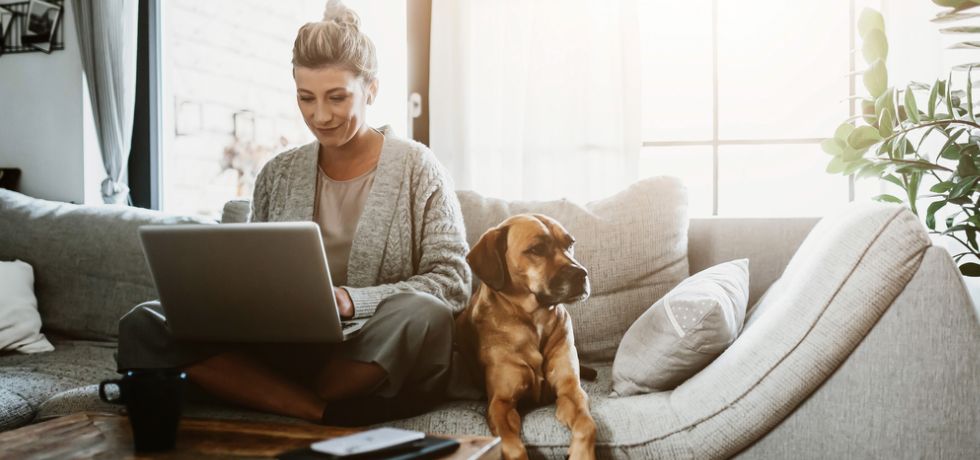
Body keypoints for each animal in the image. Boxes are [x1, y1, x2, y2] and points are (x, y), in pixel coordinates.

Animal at [454, 214, 596, 458]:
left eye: (570, 244)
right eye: (537, 249)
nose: (582, 274)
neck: (535, 319)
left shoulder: (571, 390)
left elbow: (588, 425)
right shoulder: (501, 404)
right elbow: (512, 446)